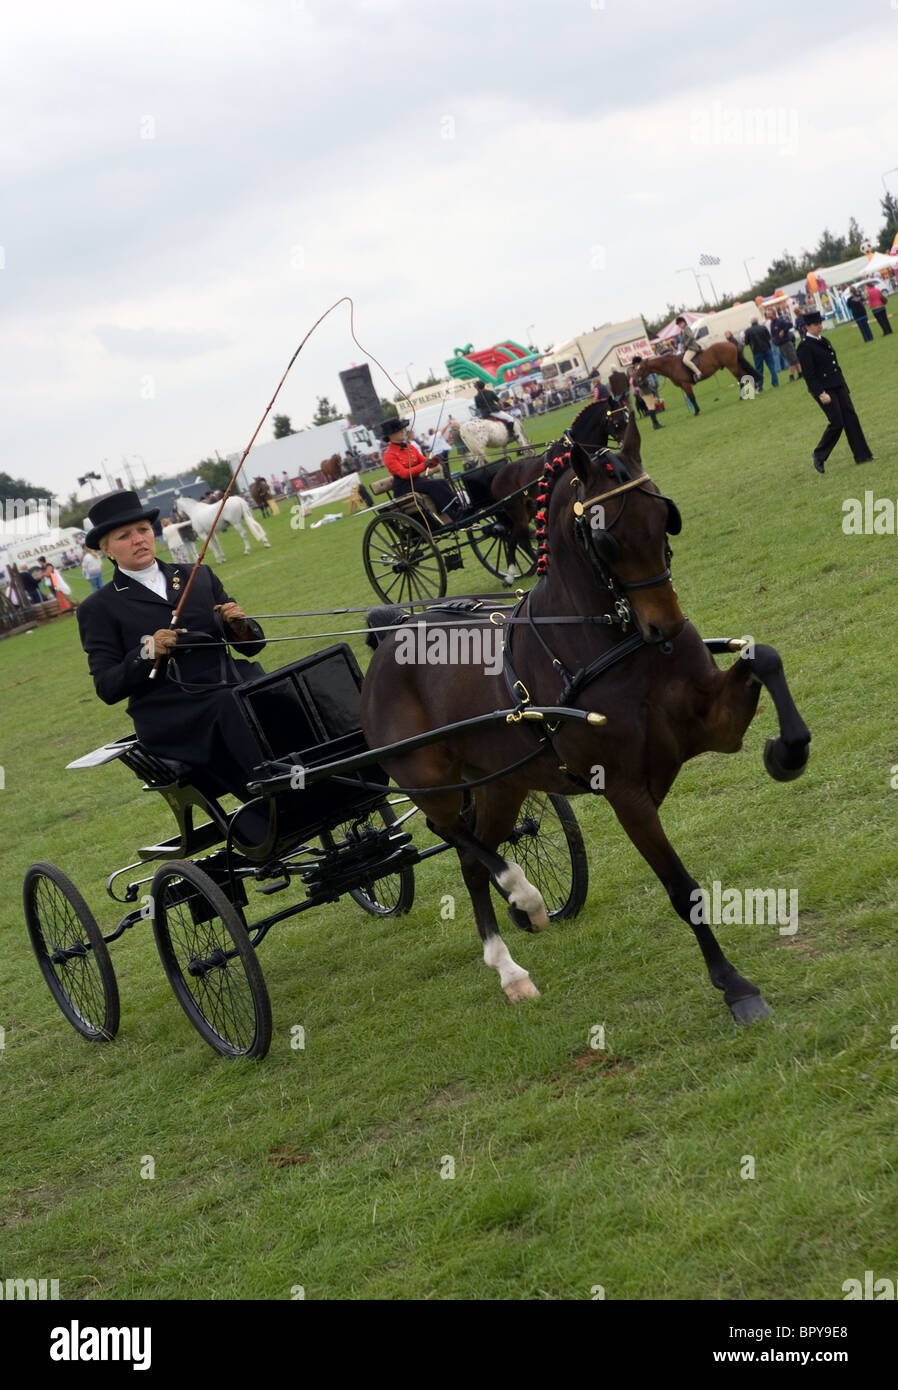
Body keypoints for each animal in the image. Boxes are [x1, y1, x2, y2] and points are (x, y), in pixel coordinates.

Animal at [633, 343, 761, 417]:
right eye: (636, 368)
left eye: (641, 368)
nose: (635, 381)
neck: (671, 365)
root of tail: (730, 344)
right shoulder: (683, 385)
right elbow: (690, 398)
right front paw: (695, 410)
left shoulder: (686, 384)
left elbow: (692, 397)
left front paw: (696, 412)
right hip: (735, 365)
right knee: (745, 376)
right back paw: (754, 390)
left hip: (732, 366)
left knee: (741, 379)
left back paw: (742, 396)